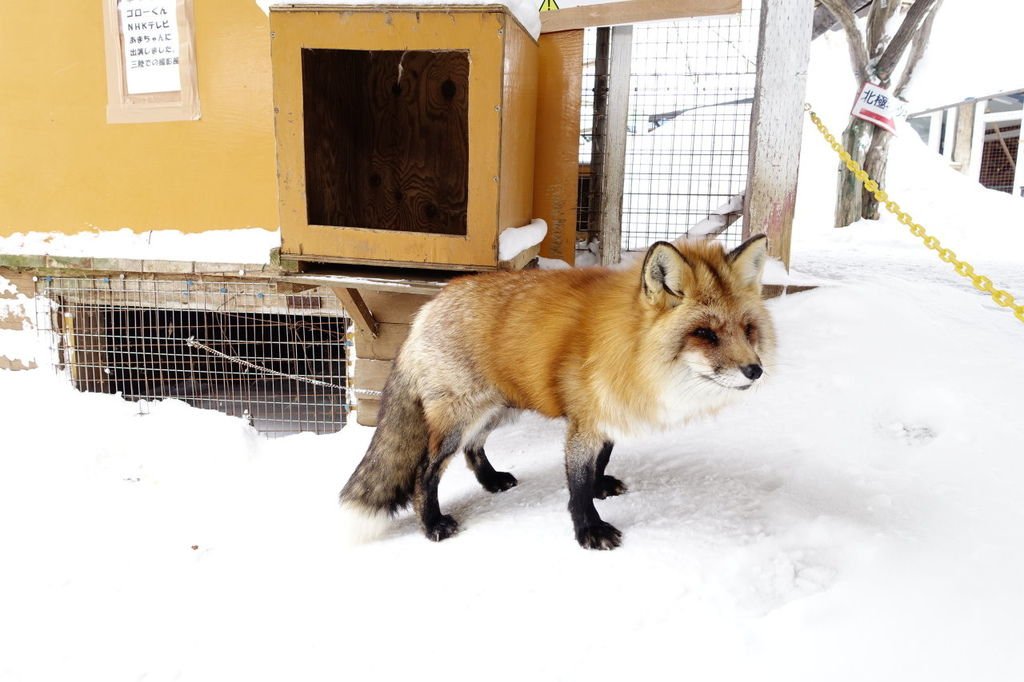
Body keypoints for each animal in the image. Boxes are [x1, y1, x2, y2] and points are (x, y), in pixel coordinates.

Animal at [337, 233, 774, 548]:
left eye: (748, 330)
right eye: (705, 334)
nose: (755, 371)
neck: (629, 348)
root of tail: (427, 308)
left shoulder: (606, 414)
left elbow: (600, 460)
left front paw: (600, 486)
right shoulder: (583, 422)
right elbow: (576, 486)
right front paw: (589, 530)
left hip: (498, 409)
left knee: (473, 449)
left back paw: (491, 481)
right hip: (460, 419)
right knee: (424, 471)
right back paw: (432, 524)